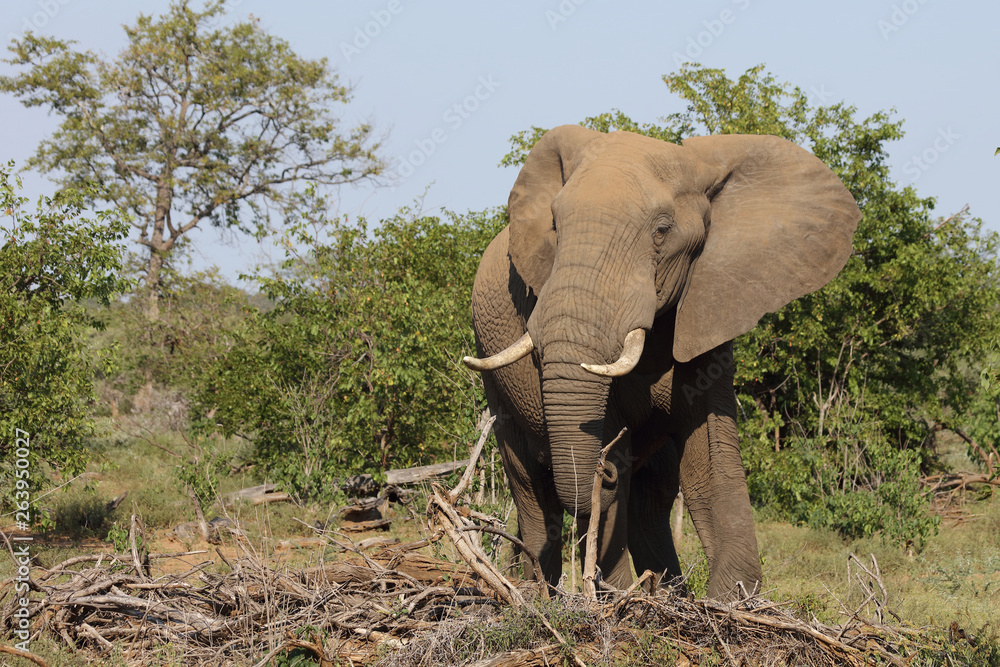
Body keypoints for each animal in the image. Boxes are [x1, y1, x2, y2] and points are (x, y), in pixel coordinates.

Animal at [462, 125, 861, 598]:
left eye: (662, 231)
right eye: (556, 227)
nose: (603, 473)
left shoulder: (707, 314)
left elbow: (709, 456)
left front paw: (729, 597)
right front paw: (615, 597)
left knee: (653, 488)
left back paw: (666, 591)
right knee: (529, 483)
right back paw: (541, 593)